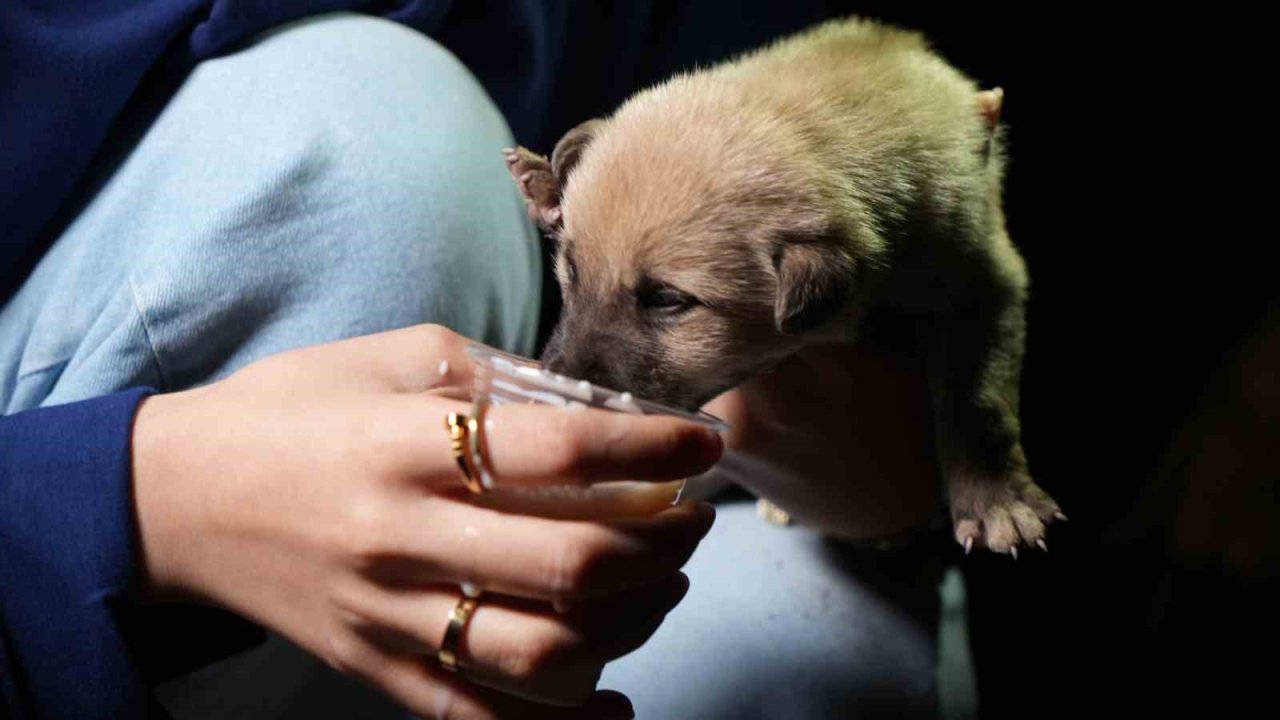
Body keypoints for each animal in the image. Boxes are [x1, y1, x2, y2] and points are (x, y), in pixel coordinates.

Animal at [506, 18, 1059, 556]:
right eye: (572, 271)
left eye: (667, 300)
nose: (556, 381)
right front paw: (550, 185)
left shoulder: (982, 279)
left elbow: (980, 399)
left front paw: (997, 501)